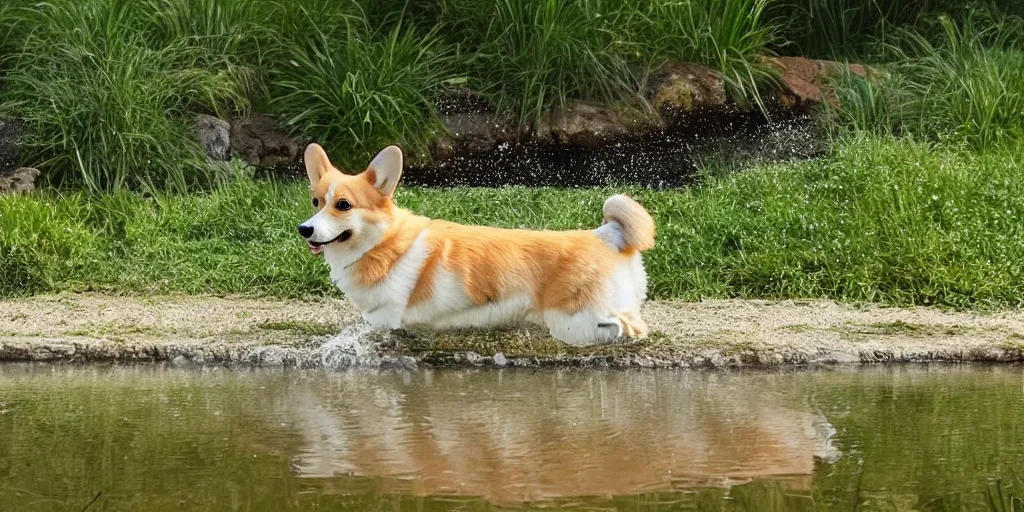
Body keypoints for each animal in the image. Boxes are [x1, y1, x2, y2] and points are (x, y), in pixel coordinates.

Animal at [296, 142, 655, 346]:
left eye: (343, 205)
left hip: (572, 321)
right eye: (315, 202)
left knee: (624, 327)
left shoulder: (384, 320)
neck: (384, 244)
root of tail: (605, 235)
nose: (304, 229)